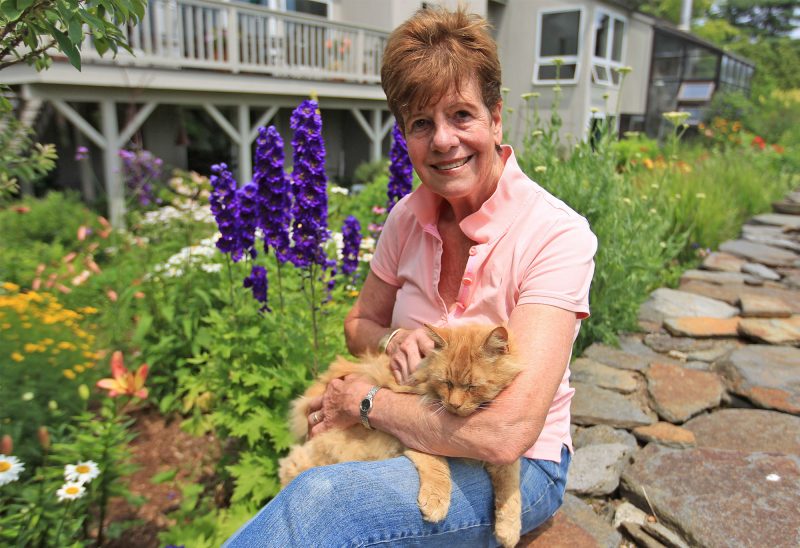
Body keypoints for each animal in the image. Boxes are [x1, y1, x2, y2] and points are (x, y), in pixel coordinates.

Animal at [278, 324, 520, 544]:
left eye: (472, 387)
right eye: (447, 383)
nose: (454, 405)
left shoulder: (502, 452)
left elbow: (511, 490)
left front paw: (509, 530)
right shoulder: (412, 435)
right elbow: (437, 468)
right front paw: (436, 501)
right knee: (290, 466)